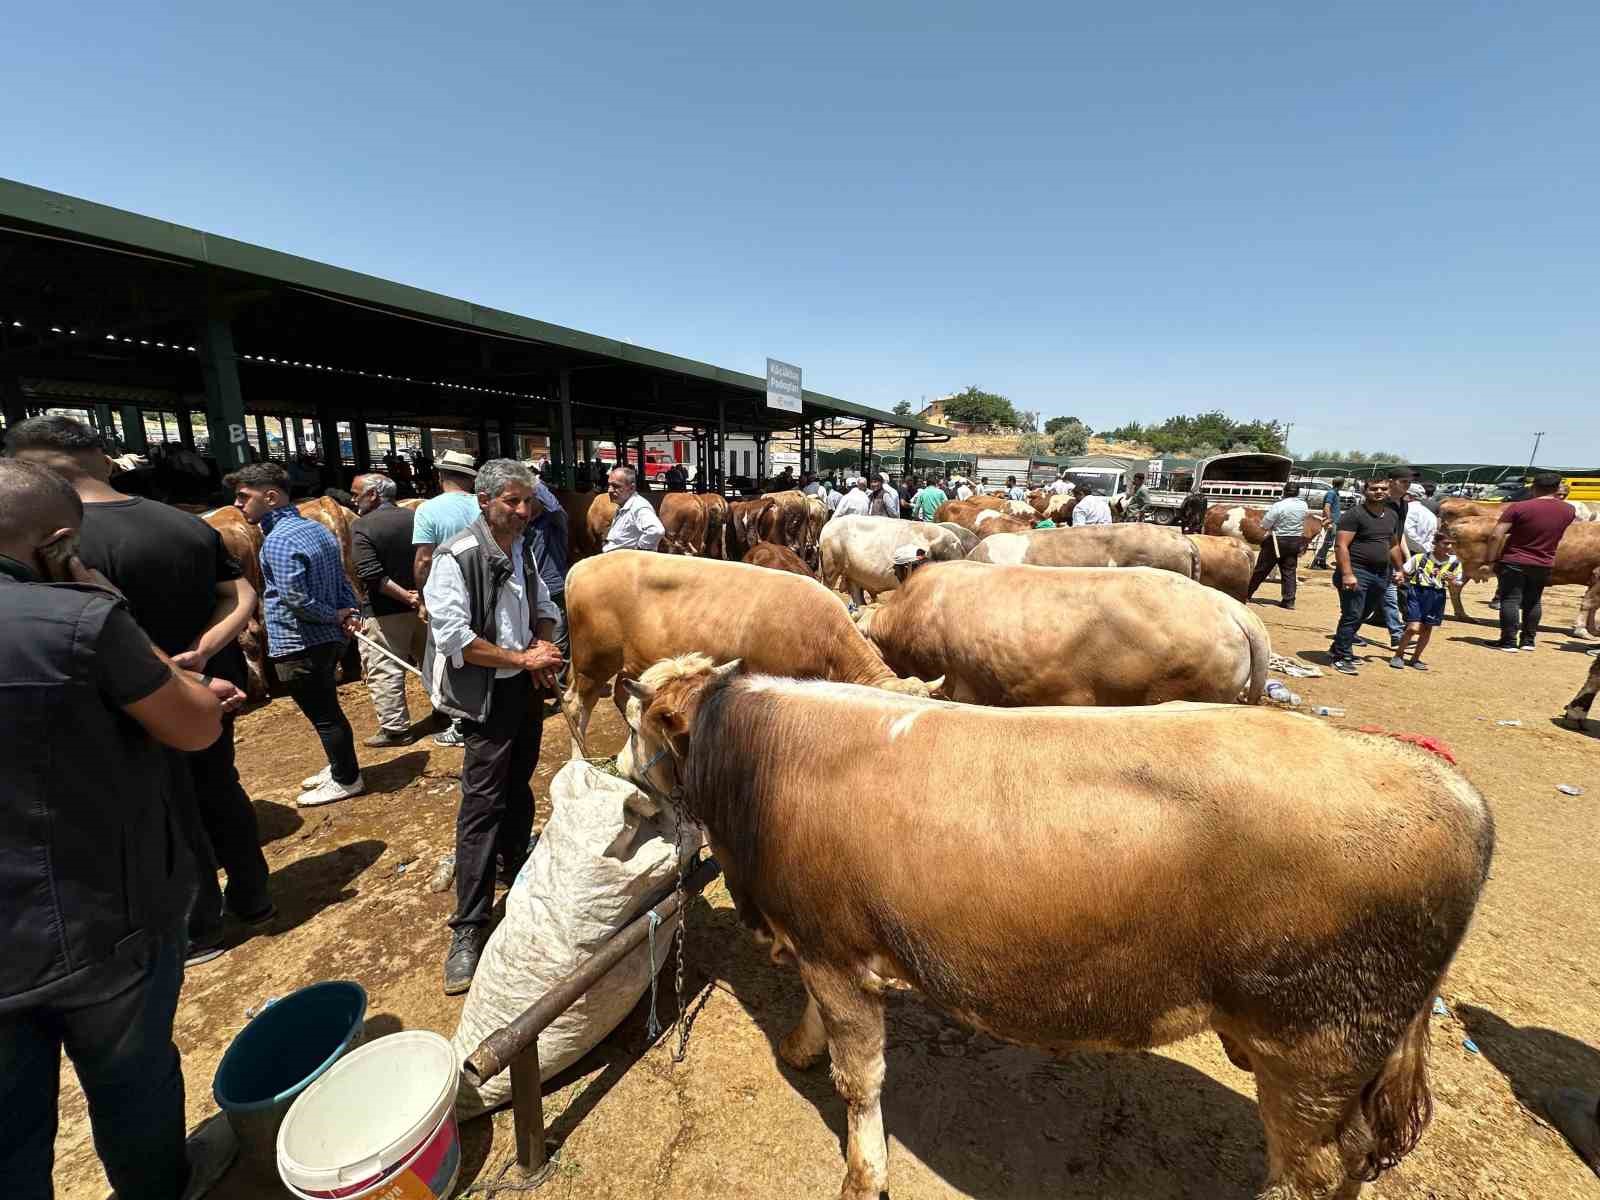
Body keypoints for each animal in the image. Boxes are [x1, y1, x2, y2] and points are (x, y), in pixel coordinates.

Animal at [563, 553, 934, 752]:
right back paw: (583, 758)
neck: (824, 638)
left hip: (629, 662)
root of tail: (581, 565)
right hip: (591, 660)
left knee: (621, 695)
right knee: (576, 703)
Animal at [617, 659, 1491, 1200]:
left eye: (641, 724)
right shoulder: (817, 942)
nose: (623, 779)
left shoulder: (836, 949)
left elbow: (859, 1080)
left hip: (1314, 1048)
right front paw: (800, 1046)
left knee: (1308, 1171)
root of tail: (1447, 782)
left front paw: (863, 1173)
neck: (764, 760)